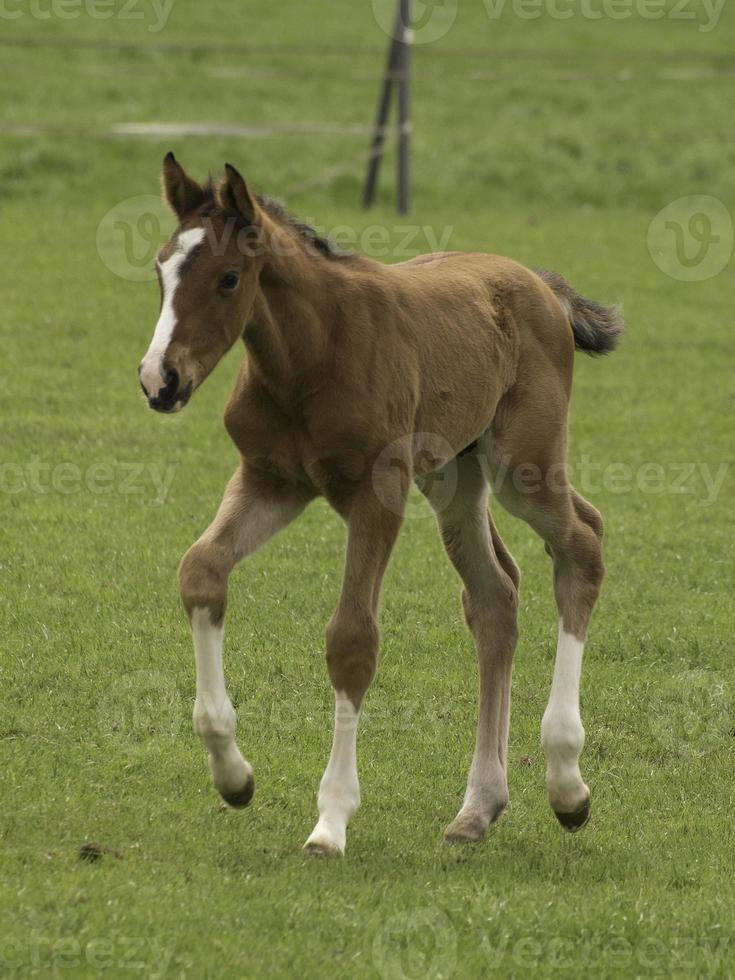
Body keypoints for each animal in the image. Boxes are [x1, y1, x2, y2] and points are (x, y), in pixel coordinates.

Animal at [137, 157, 620, 852]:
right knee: (494, 595)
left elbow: (352, 640)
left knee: (582, 540)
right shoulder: (269, 481)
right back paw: (479, 807)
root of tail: (540, 284)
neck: (311, 356)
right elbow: (201, 571)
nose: (160, 380)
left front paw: (331, 818)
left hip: (522, 464)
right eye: (161, 270)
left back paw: (567, 785)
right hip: (454, 474)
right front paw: (233, 775)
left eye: (229, 279)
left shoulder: (377, 493)